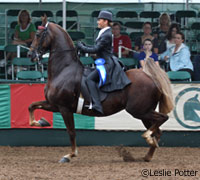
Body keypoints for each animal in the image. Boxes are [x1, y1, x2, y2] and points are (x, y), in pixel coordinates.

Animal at [27, 16, 173, 163]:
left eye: (38, 34)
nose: (30, 54)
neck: (64, 69)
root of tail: (152, 79)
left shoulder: (64, 108)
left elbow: (71, 132)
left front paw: (70, 155)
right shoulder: (54, 105)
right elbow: (31, 106)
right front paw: (41, 122)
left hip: (139, 111)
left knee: (163, 118)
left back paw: (147, 138)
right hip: (144, 113)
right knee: (157, 131)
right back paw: (147, 154)